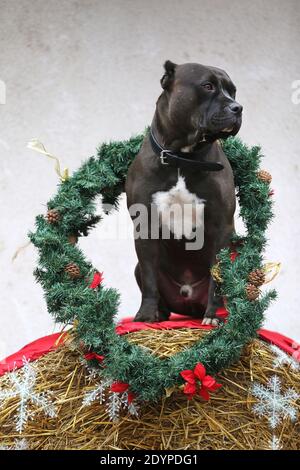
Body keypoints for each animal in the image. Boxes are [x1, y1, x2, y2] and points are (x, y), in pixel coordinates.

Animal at [125, 61, 243, 324]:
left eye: (233, 91)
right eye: (207, 86)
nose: (237, 107)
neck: (182, 157)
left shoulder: (221, 225)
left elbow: (218, 277)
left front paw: (213, 316)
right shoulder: (145, 226)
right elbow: (149, 279)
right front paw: (145, 315)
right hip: (140, 269)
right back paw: (160, 312)